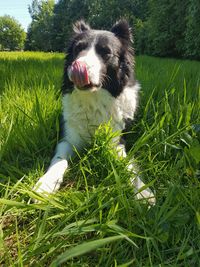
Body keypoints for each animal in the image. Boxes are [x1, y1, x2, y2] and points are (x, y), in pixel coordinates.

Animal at [34, 20, 155, 205]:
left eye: (106, 52)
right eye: (78, 49)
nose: (78, 66)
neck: (94, 98)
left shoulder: (116, 141)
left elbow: (128, 165)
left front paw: (142, 191)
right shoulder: (68, 138)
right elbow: (59, 161)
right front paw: (45, 185)